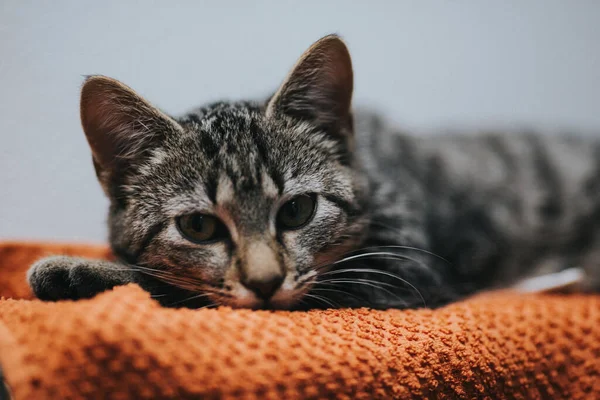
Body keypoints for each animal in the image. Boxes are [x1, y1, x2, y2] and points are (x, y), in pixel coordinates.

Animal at [27, 34, 600, 310]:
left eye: (298, 210)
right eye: (198, 226)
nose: (264, 282)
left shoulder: (402, 272)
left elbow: (178, 288)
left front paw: (79, 271)